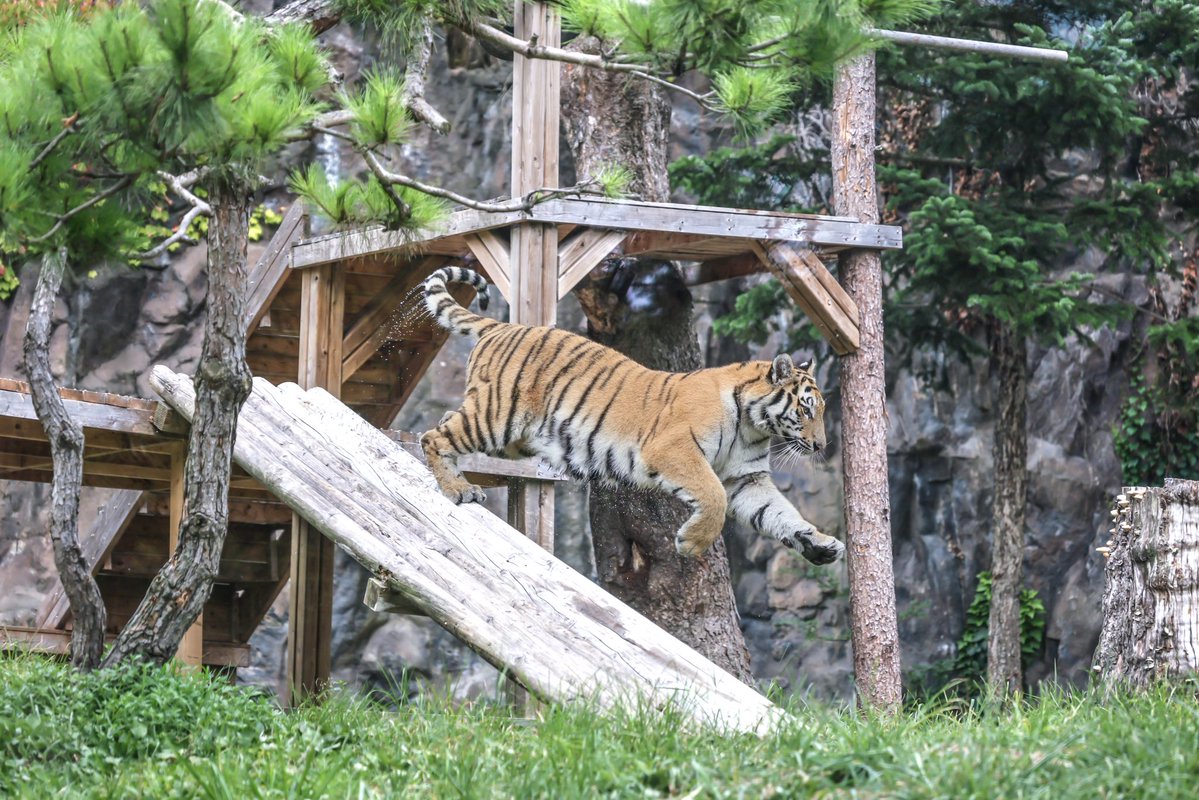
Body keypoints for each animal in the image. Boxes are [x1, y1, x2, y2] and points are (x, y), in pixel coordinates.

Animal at [419, 266, 845, 565]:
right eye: (806, 409)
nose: (821, 446)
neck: (752, 425)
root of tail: (502, 326)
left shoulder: (747, 479)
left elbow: (782, 514)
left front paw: (820, 543)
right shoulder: (674, 448)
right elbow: (713, 495)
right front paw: (691, 544)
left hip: (513, 437)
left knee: (444, 426)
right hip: (496, 416)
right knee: (432, 435)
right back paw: (458, 489)